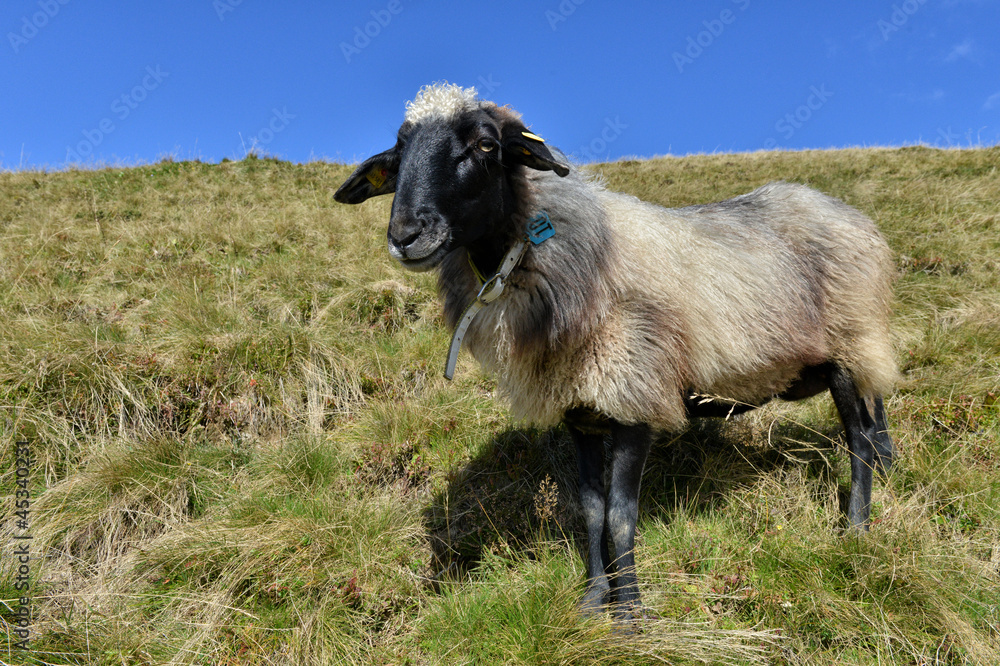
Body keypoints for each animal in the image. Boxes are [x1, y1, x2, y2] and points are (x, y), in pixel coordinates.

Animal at [334, 82, 897, 620]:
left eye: (486, 145)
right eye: (399, 153)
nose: (406, 235)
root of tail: (846, 211)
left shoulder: (633, 392)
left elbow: (621, 514)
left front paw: (628, 613)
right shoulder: (579, 409)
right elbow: (590, 509)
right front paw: (593, 599)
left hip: (849, 342)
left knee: (859, 442)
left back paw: (856, 528)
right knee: (875, 419)